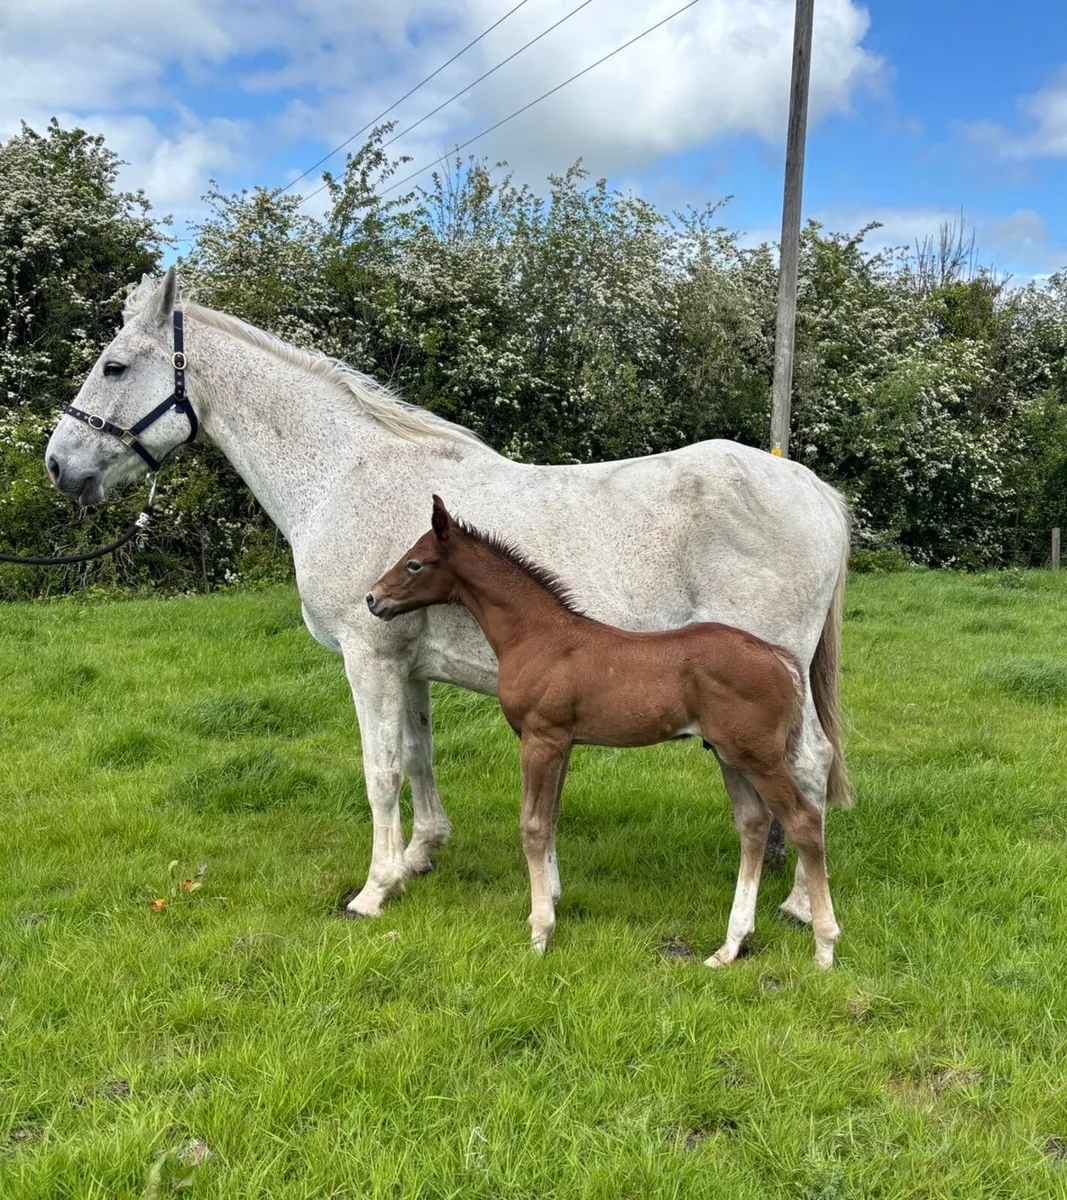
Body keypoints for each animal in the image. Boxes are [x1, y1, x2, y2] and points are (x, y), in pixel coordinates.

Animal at [367, 496, 840, 966]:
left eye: (414, 563)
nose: (373, 598)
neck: (537, 636)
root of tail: (778, 657)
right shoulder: (563, 742)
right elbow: (551, 819)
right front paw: (550, 905)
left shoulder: (541, 738)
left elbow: (532, 827)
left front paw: (540, 933)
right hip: (728, 754)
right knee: (754, 824)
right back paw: (730, 946)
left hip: (758, 756)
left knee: (803, 820)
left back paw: (824, 946)